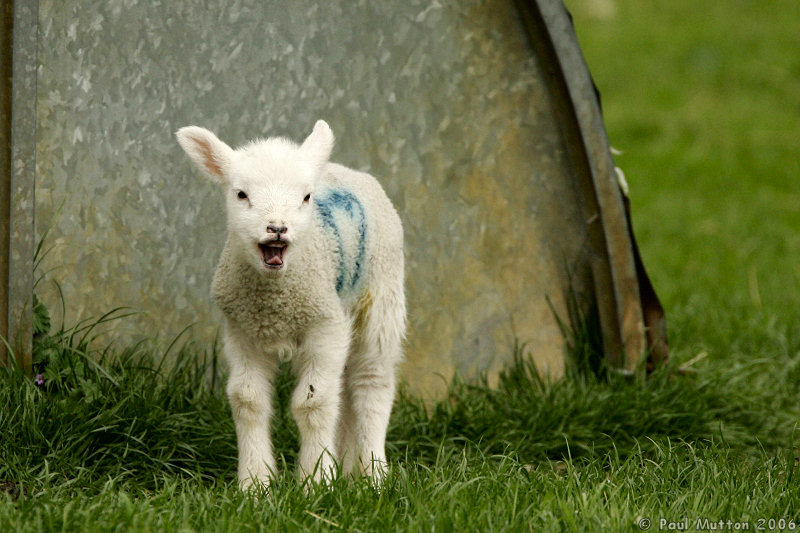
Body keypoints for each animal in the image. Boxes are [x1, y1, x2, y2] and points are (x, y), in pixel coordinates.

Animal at [176, 119, 406, 486]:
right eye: (241, 194)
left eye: (306, 197)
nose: (277, 228)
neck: (276, 302)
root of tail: (346, 169)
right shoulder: (242, 329)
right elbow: (247, 400)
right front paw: (255, 483)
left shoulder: (325, 326)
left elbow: (312, 403)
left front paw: (316, 481)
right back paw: (348, 470)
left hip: (382, 294)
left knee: (372, 382)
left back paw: (374, 476)